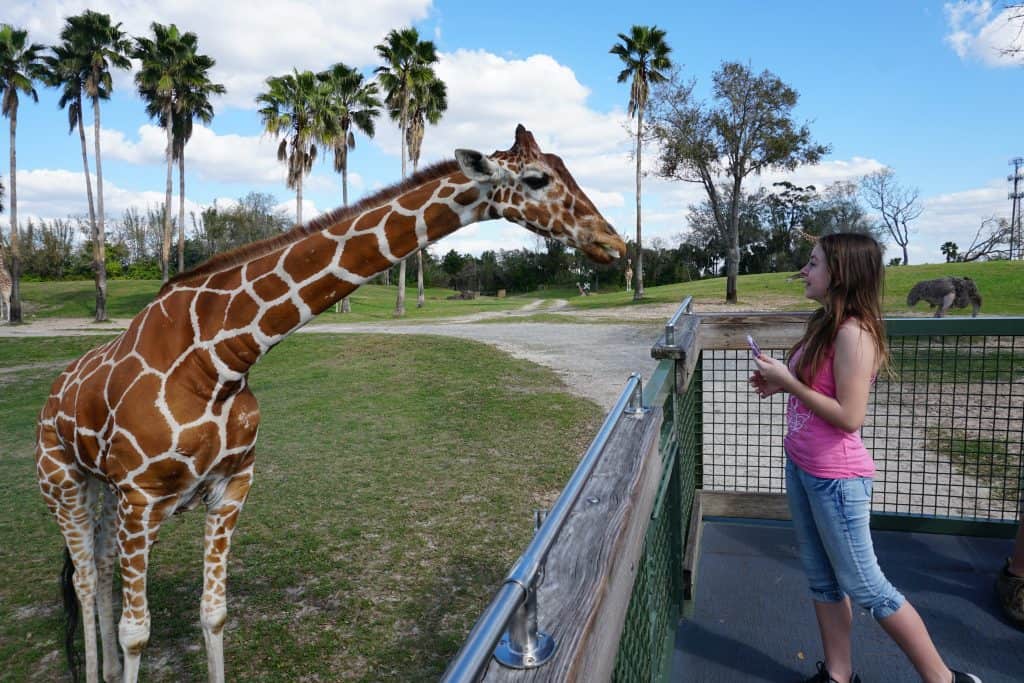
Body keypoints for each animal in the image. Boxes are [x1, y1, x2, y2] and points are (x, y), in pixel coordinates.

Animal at [35, 125, 626, 683]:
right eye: (538, 180)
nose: (615, 243)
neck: (217, 359)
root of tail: (50, 397)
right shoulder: (141, 496)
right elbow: (137, 632)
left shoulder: (230, 486)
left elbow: (214, 613)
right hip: (64, 486)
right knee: (86, 581)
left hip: (102, 490)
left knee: (100, 568)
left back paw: (109, 671)